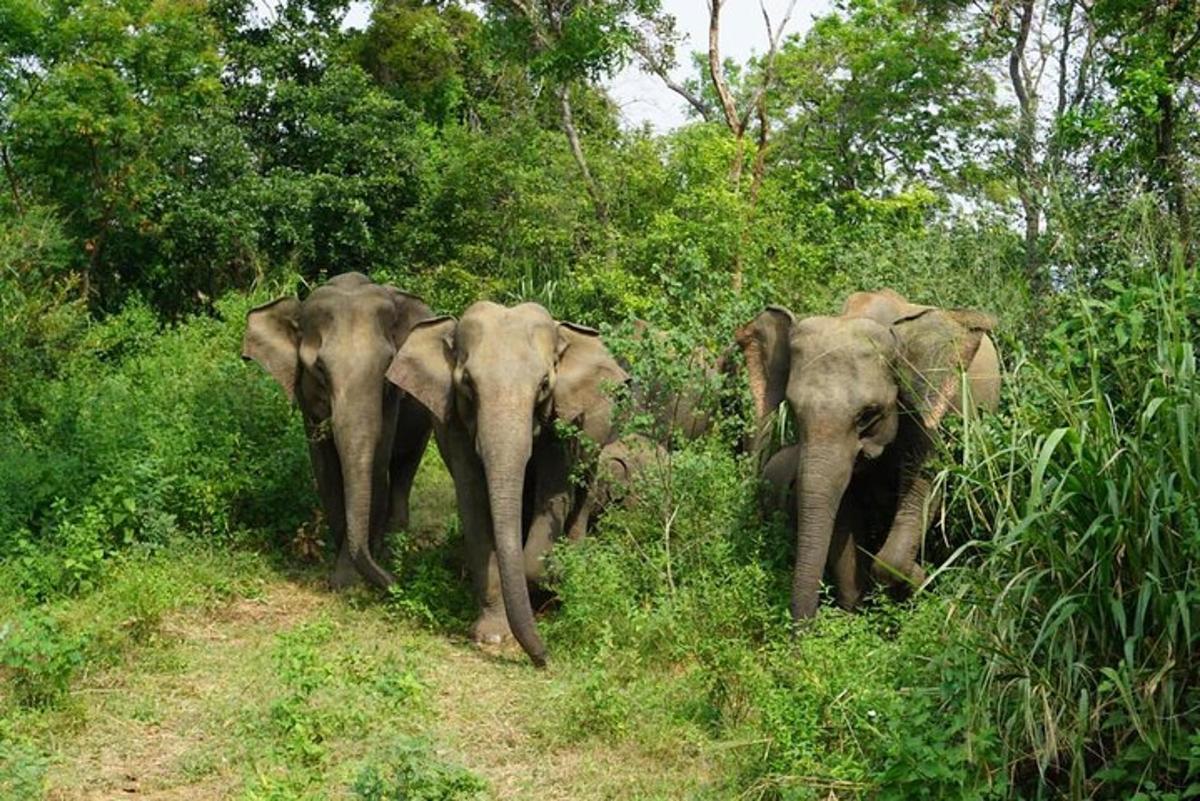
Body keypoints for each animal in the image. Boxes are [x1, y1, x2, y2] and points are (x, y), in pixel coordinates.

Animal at [241, 272, 434, 592]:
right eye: (319, 367)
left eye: (388, 365)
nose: (395, 583)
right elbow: (325, 469)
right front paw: (342, 578)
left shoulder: (392, 398)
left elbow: (377, 465)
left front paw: (353, 577)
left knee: (405, 467)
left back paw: (396, 542)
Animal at [386, 299, 633, 661]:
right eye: (467, 383)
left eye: (544, 384)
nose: (544, 659)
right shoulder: (453, 423)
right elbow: (474, 502)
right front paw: (492, 636)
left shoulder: (562, 421)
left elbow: (553, 495)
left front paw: (543, 588)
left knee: (584, 495)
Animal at [734, 291, 998, 623]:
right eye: (793, 410)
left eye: (868, 415)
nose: (801, 633)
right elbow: (843, 508)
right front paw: (855, 613)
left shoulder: (930, 410)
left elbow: (924, 487)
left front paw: (918, 580)